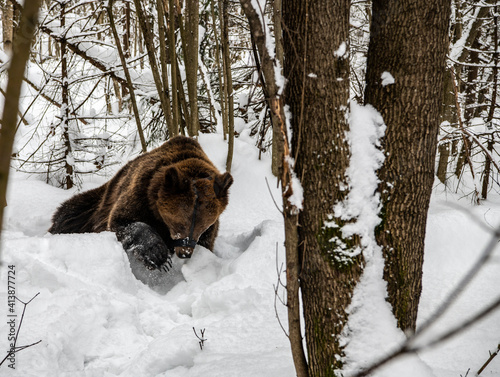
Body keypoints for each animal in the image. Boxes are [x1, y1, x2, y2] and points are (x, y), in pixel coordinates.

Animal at [47, 135, 233, 270]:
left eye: (202, 226)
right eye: (179, 223)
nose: (185, 252)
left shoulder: (210, 230)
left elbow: (207, 244)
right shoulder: (141, 192)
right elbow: (123, 222)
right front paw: (158, 255)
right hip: (94, 205)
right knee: (69, 215)